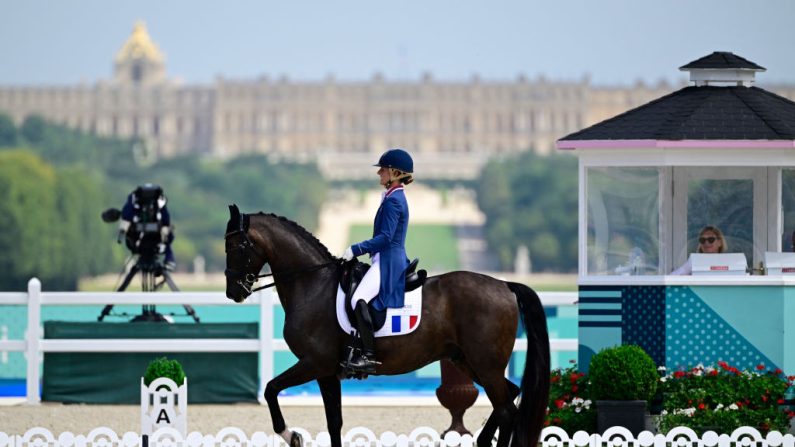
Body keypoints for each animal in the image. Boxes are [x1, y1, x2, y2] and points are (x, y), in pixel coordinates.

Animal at [222, 206, 548, 447]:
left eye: (236, 245)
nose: (233, 292)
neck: (313, 284)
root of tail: (504, 285)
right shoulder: (326, 371)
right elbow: (334, 422)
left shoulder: (314, 362)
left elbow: (270, 389)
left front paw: (293, 436)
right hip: (468, 361)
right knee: (511, 395)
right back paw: (482, 440)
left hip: (485, 364)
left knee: (506, 410)